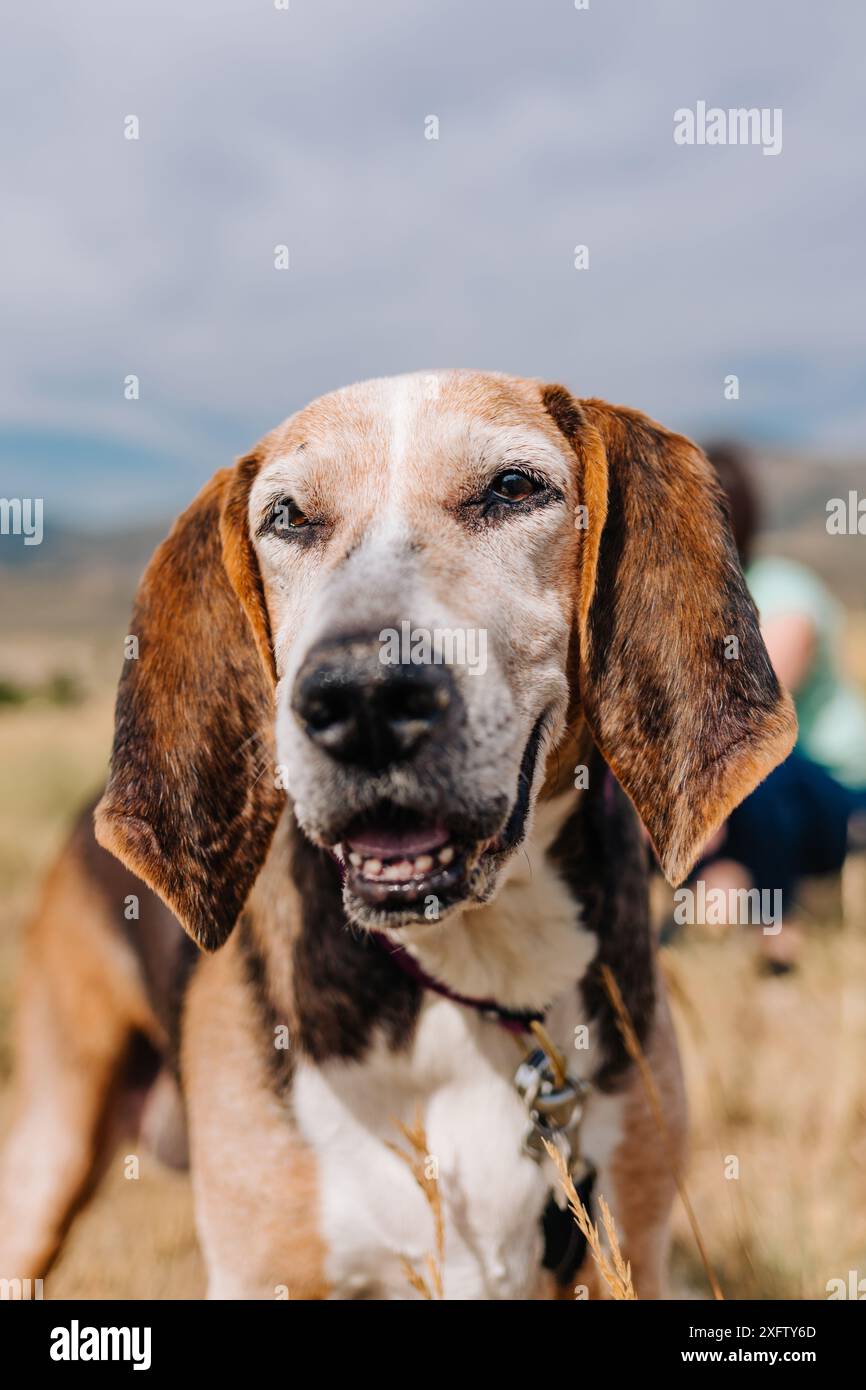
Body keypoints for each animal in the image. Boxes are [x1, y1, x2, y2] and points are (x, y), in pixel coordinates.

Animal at [0, 372, 800, 1301]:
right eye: (288, 516)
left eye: (513, 488)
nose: (364, 699)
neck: (473, 971)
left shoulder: (626, 1247)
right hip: (48, 1154)